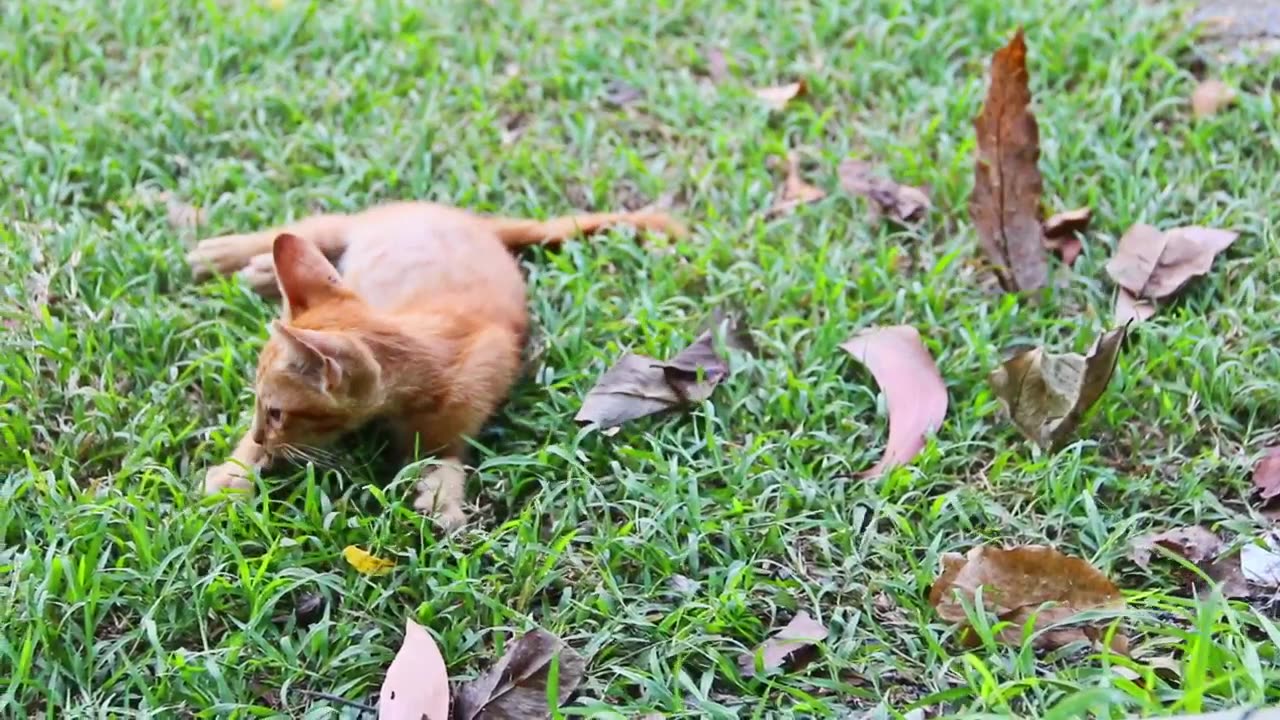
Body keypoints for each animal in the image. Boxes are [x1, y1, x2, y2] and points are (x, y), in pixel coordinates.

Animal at [189, 202, 686, 527]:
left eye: (276, 412)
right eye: (260, 407)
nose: (260, 433)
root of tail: (474, 221)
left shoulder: (460, 414)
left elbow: (446, 455)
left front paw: (443, 498)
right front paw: (233, 472)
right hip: (351, 226)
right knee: (311, 227)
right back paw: (231, 255)